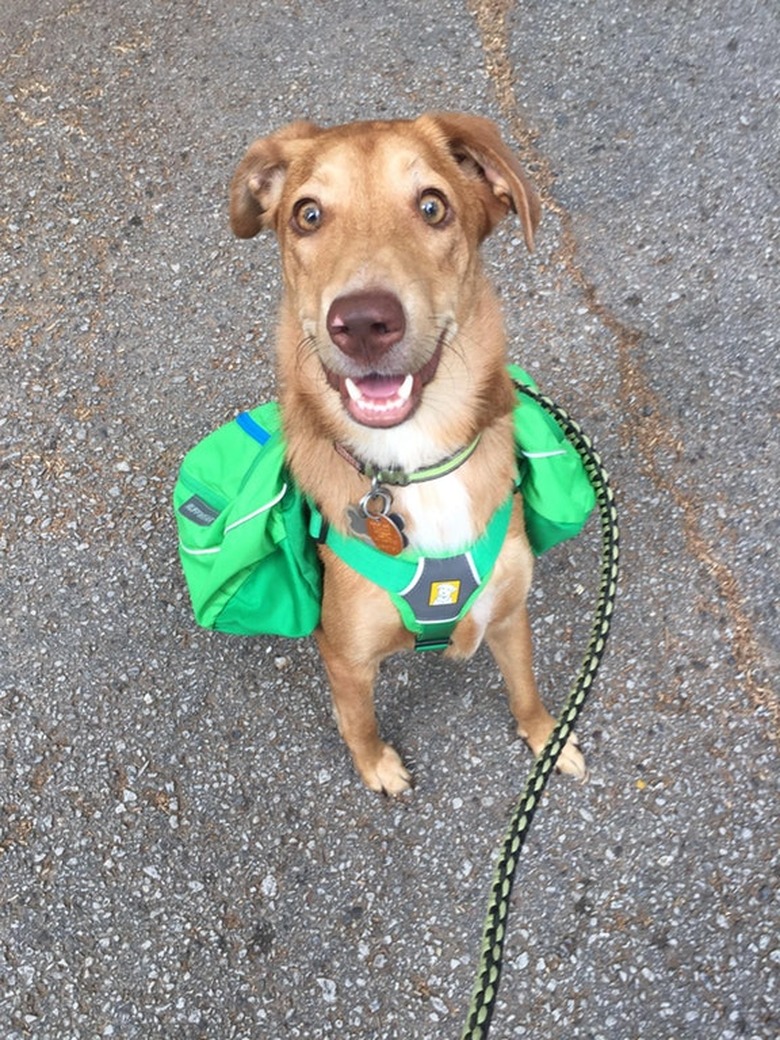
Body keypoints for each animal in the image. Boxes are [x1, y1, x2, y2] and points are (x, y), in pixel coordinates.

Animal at [227, 113, 586, 790]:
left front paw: (547, 740)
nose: (364, 323)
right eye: (308, 215)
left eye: (432, 206)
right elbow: (359, 720)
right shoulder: (345, 655)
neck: (417, 463)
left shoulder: (509, 614)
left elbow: (526, 690)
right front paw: (377, 766)